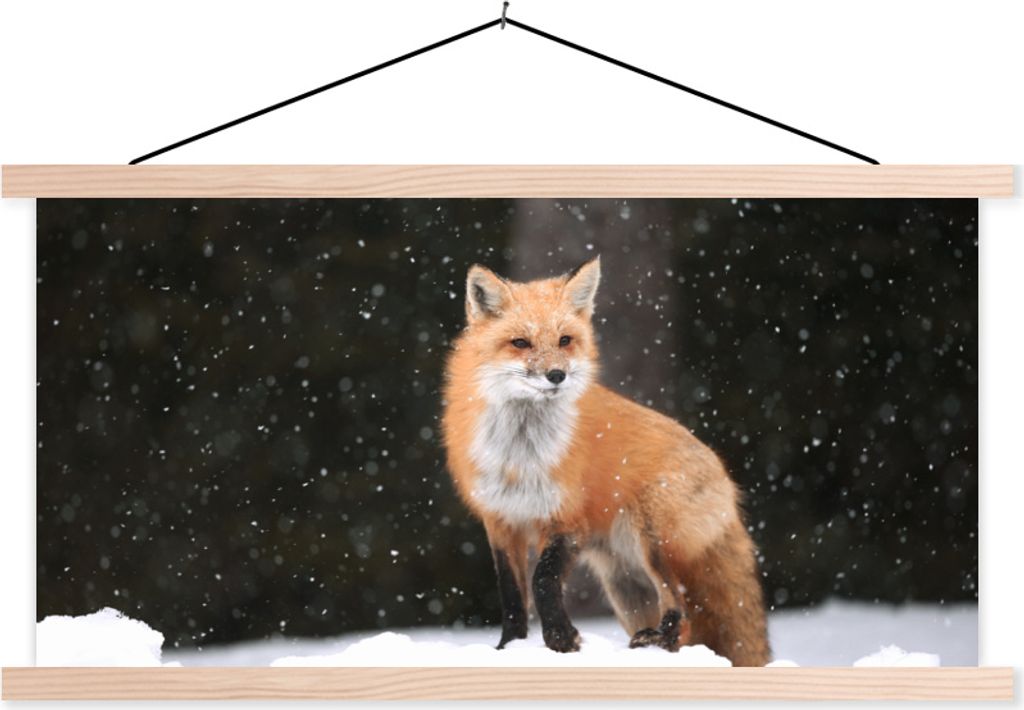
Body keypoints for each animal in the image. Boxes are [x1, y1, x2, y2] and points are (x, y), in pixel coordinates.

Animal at [440, 256, 770, 666]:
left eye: (565, 340)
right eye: (520, 343)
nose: (556, 375)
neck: (521, 456)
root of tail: (728, 482)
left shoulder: (567, 521)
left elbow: (543, 579)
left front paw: (561, 639)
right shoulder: (501, 521)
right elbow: (512, 595)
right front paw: (508, 648)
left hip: (653, 542)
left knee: (682, 608)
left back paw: (658, 639)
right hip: (626, 585)